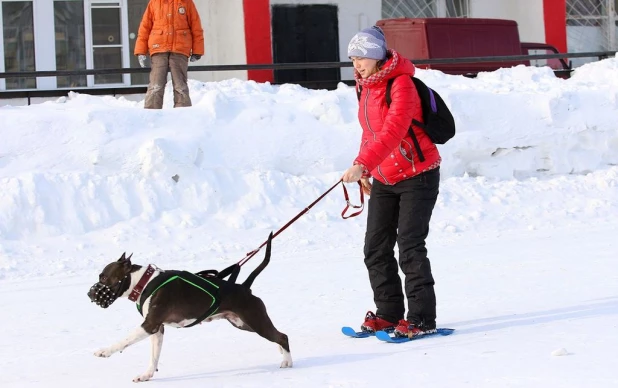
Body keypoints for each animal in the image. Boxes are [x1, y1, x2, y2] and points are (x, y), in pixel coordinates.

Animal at [85, 232, 292, 384]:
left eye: (103, 277)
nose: (89, 294)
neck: (143, 282)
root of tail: (244, 287)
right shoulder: (157, 329)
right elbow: (154, 356)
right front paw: (146, 375)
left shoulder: (149, 325)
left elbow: (124, 341)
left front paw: (104, 351)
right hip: (242, 323)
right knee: (278, 336)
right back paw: (281, 352)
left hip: (255, 320)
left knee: (282, 336)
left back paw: (287, 361)